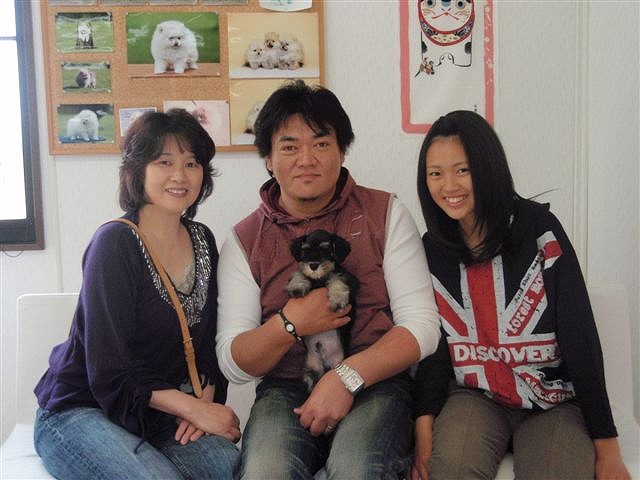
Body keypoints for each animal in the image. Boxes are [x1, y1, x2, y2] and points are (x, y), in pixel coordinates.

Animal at [286, 229, 359, 391]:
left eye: (325, 249)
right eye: (305, 250)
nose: (313, 265)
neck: (318, 280)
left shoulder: (347, 279)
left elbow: (337, 279)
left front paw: (337, 300)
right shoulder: (304, 272)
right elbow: (299, 272)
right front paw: (297, 286)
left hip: (337, 362)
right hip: (311, 369)